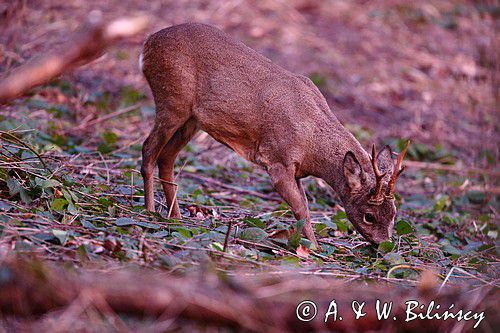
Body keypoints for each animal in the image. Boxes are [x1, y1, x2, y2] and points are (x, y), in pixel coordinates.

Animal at [139, 22, 408, 246]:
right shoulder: (278, 162)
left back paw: (175, 217)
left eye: (394, 214)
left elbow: (304, 205)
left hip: (191, 121)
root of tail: (148, 43)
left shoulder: (297, 171)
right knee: (148, 150)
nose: (383, 245)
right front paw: (313, 247)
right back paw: (149, 212)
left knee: (166, 158)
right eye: (369, 216)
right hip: (172, 101)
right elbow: (301, 209)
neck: (312, 142)